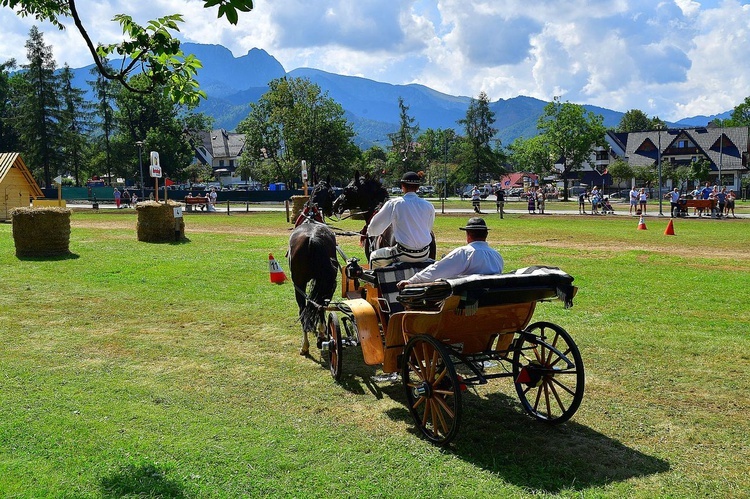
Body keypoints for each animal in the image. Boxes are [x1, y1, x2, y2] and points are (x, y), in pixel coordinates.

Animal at [288, 183, 340, 356]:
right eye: (332, 194)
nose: (334, 209)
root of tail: (312, 239)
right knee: (319, 305)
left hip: (299, 284)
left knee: (306, 308)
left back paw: (306, 344)